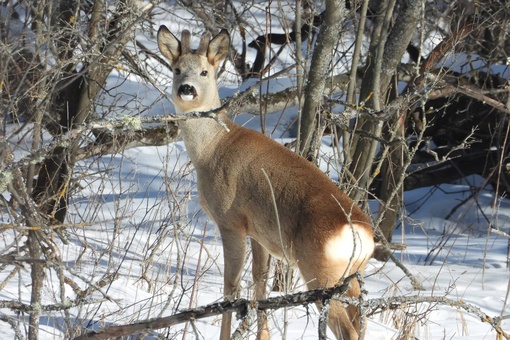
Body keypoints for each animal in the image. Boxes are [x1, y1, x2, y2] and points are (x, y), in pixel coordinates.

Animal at [156, 25, 374, 340]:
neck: (211, 149)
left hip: (320, 271)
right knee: (361, 321)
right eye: (176, 69)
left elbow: (231, 288)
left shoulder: (231, 220)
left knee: (347, 330)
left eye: (204, 72)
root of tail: (361, 233)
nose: (186, 89)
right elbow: (259, 285)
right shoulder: (258, 233)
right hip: (353, 276)